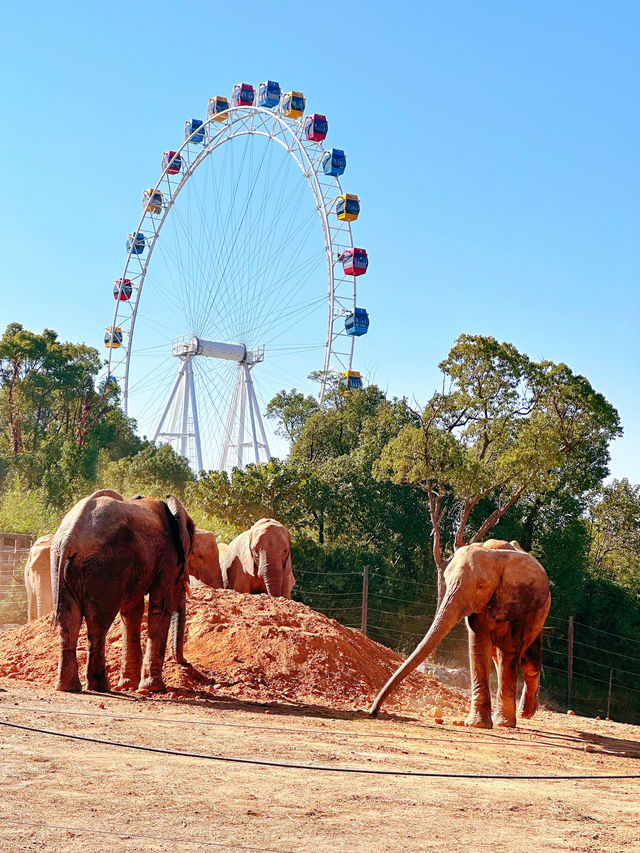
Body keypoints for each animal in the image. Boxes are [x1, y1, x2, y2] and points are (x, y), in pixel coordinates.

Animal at [52, 490, 195, 696]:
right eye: (190, 553)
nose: (185, 663)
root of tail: (70, 538)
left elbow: (131, 612)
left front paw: (129, 685)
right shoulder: (167, 557)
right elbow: (159, 607)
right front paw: (154, 688)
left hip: (60, 563)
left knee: (68, 621)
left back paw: (69, 688)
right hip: (106, 567)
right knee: (98, 623)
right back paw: (100, 687)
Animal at [370, 540, 552, 724]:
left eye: (481, 586)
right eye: (447, 580)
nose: (373, 712)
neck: (495, 554)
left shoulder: (518, 602)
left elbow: (509, 651)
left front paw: (502, 723)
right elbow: (479, 648)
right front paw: (478, 724)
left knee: (528, 662)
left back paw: (525, 713)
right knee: (500, 658)